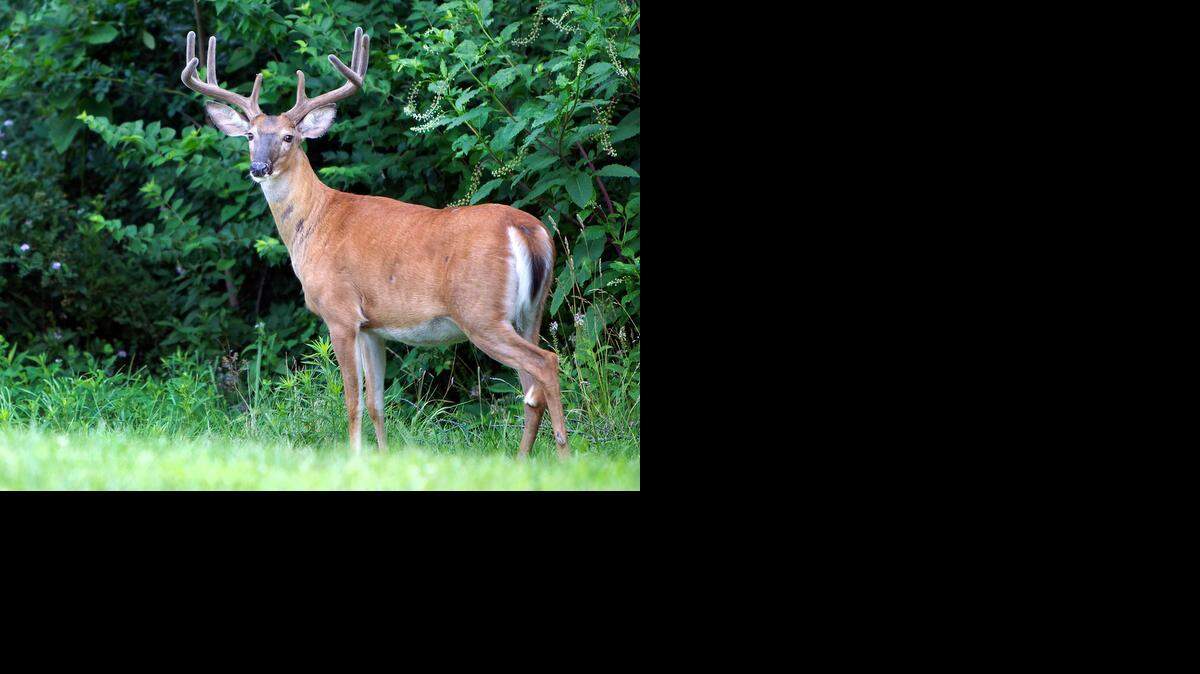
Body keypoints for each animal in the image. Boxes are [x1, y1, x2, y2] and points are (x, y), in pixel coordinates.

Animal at [179, 27, 569, 458]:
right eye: (250, 135)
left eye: (288, 136)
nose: (258, 167)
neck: (315, 222)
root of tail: (527, 230)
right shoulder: (373, 326)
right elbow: (376, 402)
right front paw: (380, 457)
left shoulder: (340, 312)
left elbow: (352, 400)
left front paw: (354, 456)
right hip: (530, 311)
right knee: (531, 387)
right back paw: (524, 460)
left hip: (481, 313)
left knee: (546, 364)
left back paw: (563, 454)